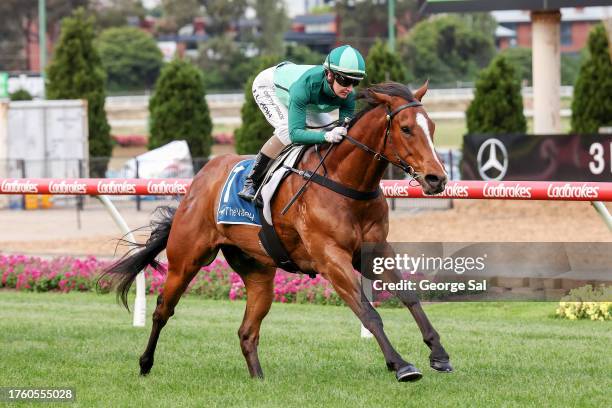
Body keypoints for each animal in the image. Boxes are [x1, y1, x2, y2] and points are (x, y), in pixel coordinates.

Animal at [103, 80, 452, 382]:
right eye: (406, 129)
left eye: (432, 127)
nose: (437, 178)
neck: (346, 182)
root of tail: (199, 180)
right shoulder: (331, 259)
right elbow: (368, 312)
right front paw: (401, 365)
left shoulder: (375, 250)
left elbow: (409, 296)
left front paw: (439, 354)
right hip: (186, 259)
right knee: (163, 309)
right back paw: (145, 363)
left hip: (258, 272)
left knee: (247, 331)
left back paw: (259, 379)